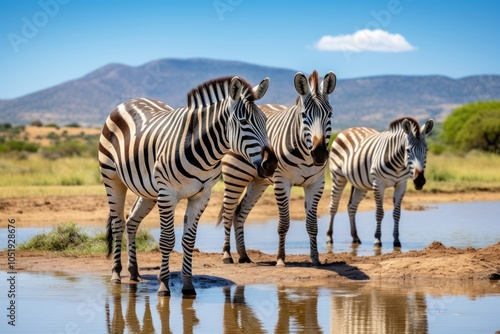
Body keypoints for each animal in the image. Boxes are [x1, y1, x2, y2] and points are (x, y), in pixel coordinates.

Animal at [97, 75, 278, 294]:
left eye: (265, 121)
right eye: (244, 122)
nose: (272, 164)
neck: (199, 147)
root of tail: (128, 102)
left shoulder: (201, 196)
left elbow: (189, 240)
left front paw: (188, 285)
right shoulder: (168, 194)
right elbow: (167, 240)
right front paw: (164, 285)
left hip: (148, 190)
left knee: (132, 221)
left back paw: (134, 273)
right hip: (112, 179)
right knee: (118, 224)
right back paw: (116, 274)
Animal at [218, 70, 338, 266]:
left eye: (330, 114)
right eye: (304, 116)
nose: (320, 154)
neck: (306, 156)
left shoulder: (316, 184)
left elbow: (312, 225)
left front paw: (315, 259)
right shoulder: (282, 182)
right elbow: (284, 223)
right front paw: (280, 259)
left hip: (258, 181)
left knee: (239, 212)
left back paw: (243, 255)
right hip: (235, 176)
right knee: (228, 213)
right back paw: (227, 255)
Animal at [326, 117, 436, 248]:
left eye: (426, 150)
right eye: (408, 150)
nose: (419, 181)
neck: (398, 165)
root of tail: (348, 129)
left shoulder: (401, 184)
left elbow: (397, 214)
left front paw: (396, 241)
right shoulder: (378, 184)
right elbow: (379, 213)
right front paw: (377, 239)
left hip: (361, 185)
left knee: (352, 207)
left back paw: (355, 237)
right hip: (338, 177)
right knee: (333, 206)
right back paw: (329, 237)